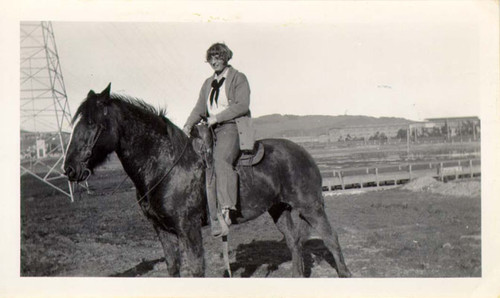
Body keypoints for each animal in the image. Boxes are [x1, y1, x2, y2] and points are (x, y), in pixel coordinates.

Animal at [63, 83, 352, 278]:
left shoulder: (188, 229)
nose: (69, 168)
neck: (166, 165)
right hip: (278, 208)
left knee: (331, 238)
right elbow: (174, 268)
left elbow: (196, 270)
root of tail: (303, 152)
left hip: (310, 207)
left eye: (92, 123)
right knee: (294, 242)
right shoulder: (163, 231)